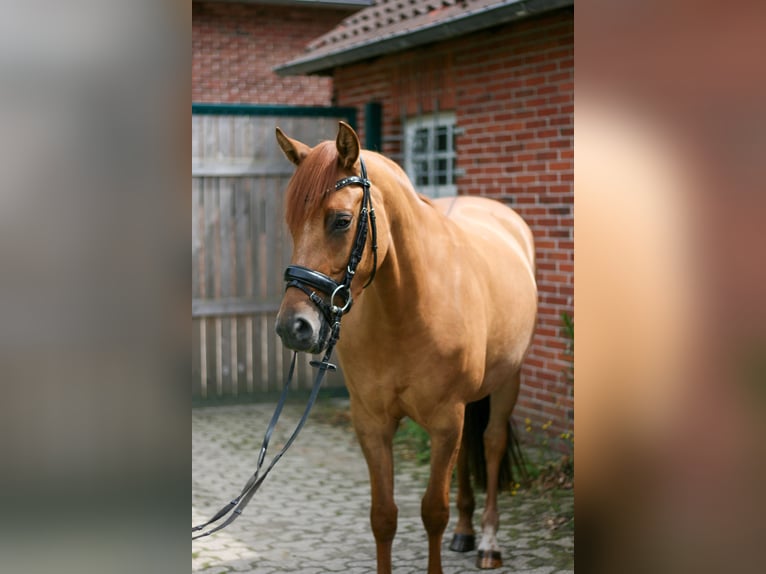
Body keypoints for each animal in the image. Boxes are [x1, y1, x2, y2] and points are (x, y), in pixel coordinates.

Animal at [276, 122, 540, 574]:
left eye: (341, 220)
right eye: (291, 222)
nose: (294, 327)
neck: (407, 306)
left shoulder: (445, 421)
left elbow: (433, 511)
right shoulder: (372, 423)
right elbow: (383, 516)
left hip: (508, 381)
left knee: (491, 444)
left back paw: (488, 542)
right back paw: (466, 532)